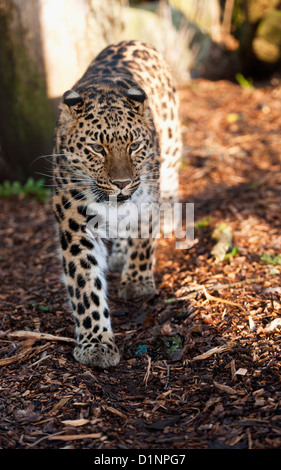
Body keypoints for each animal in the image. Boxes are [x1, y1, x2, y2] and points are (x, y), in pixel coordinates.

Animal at [52, 39, 182, 368]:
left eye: (134, 145)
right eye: (97, 148)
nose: (122, 182)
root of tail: (134, 40)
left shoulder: (146, 196)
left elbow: (144, 237)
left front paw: (137, 283)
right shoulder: (75, 223)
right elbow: (85, 283)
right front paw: (96, 343)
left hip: (172, 147)